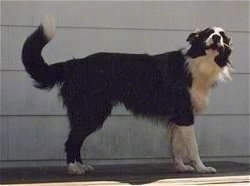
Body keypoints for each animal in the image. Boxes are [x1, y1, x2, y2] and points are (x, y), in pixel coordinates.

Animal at [21, 16, 232, 175]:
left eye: (222, 36)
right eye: (207, 33)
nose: (216, 38)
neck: (198, 63)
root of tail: (75, 63)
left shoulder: (177, 117)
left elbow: (176, 145)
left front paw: (180, 167)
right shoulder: (185, 113)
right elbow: (193, 146)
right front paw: (202, 168)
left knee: (76, 139)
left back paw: (81, 165)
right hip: (92, 112)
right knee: (71, 140)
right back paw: (74, 168)